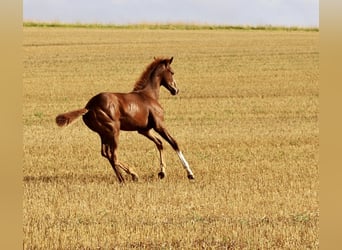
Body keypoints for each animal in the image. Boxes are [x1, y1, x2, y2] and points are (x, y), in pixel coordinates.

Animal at [56, 56, 195, 182]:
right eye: (172, 72)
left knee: (106, 153)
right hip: (114, 130)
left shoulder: (144, 130)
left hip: (103, 133)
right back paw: (133, 174)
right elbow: (174, 143)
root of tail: (88, 107)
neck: (149, 95)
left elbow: (159, 143)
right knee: (113, 155)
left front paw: (162, 173)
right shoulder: (159, 125)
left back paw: (122, 178)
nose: (176, 90)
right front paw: (190, 174)